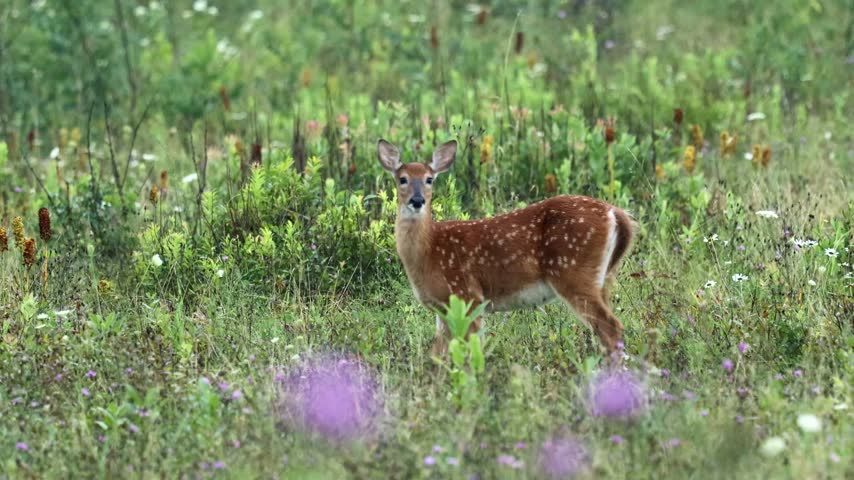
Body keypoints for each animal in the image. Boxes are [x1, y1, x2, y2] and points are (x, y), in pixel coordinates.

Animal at [377, 138, 638, 356]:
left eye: (429, 179)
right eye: (402, 179)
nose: (417, 200)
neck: (429, 250)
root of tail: (616, 213)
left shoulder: (469, 296)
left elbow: (471, 350)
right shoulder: (444, 309)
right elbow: (439, 354)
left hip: (574, 273)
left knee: (611, 328)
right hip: (603, 278)